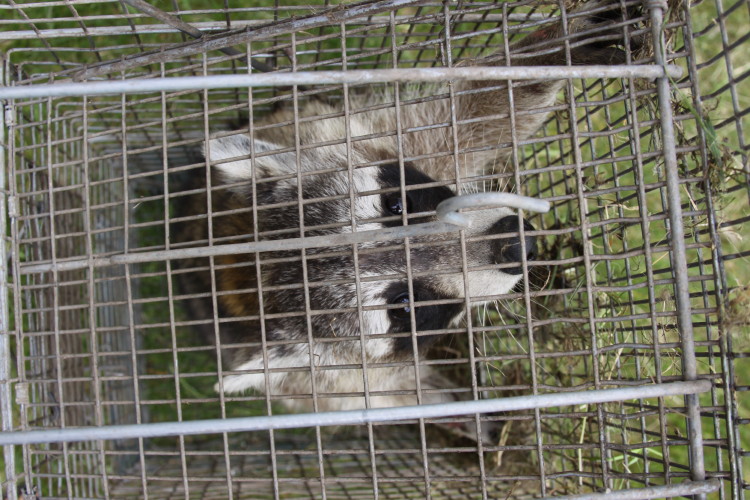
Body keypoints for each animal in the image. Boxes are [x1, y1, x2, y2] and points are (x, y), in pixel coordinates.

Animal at [173, 1, 644, 444]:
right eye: (404, 305)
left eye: (395, 205)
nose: (513, 244)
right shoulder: (331, 384)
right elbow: (389, 397)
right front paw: (466, 414)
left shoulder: (378, 137)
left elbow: (477, 109)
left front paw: (556, 49)